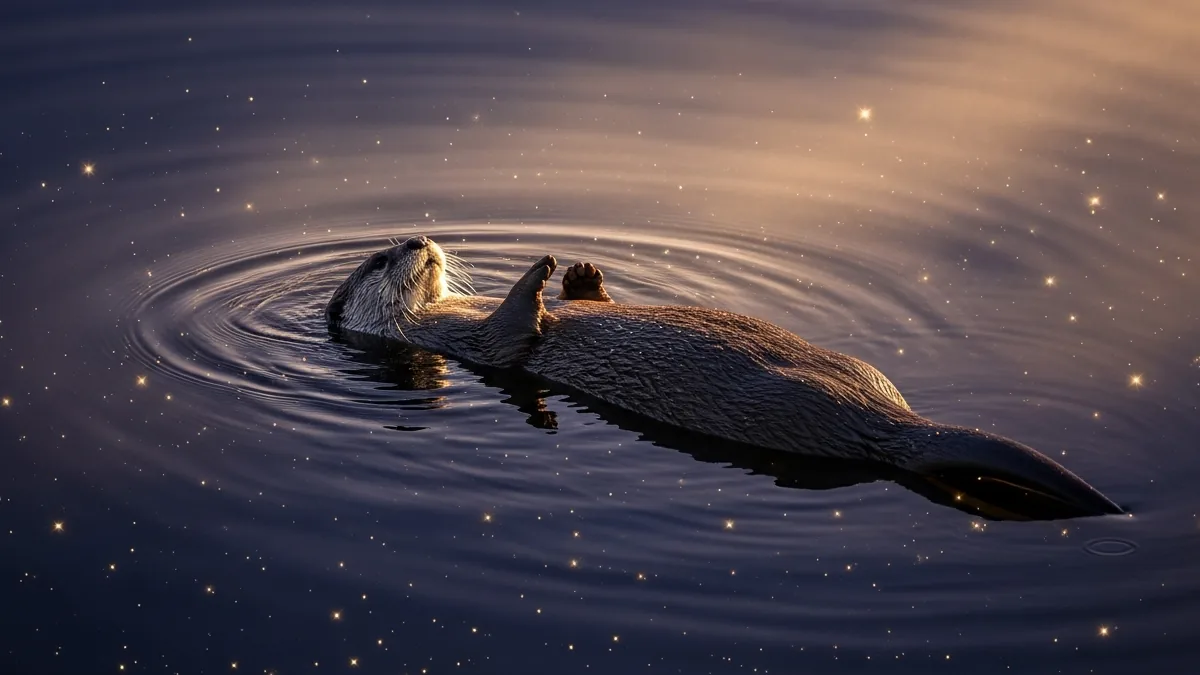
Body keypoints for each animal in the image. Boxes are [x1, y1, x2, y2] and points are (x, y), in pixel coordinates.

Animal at [326, 235, 1122, 517]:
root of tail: (891, 423)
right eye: (380, 259)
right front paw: (540, 272)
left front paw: (582, 275)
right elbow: (517, 330)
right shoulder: (486, 346)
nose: (421, 239)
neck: (449, 318)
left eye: (409, 242)